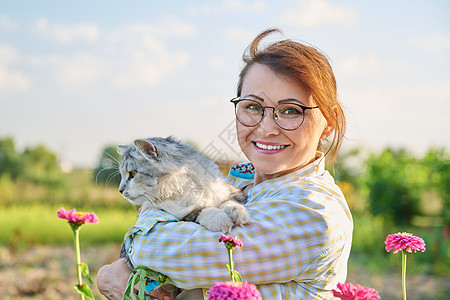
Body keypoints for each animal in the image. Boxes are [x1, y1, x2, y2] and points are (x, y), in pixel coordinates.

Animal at [117, 137, 250, 300]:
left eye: (133, 173)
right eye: (124, 174)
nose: (120, 190)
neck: (186, 186)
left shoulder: (227, 193)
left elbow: (228, 203)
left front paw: (238, 212)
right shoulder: (178, 215)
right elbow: (201, 211)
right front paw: (220, 219)